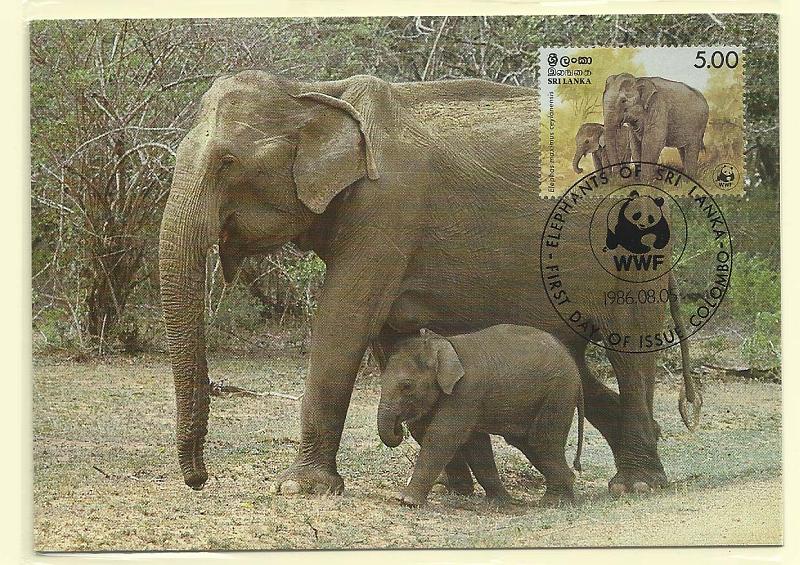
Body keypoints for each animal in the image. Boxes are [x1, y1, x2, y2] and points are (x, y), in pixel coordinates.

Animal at [378, 326, 584, 508]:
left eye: (406, 386)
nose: (398, 428)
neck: (444, 344)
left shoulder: (466, 390)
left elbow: (442, 436)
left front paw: (406, 501)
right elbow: (475, 443)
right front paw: (498, 502)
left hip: (559, 391)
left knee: (542, 441)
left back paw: (555, 502)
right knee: (528, 444)